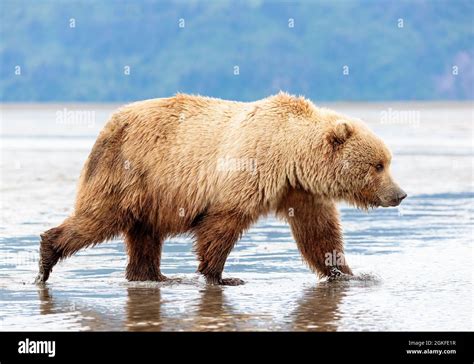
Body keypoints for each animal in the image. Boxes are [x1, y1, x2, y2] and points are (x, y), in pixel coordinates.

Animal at [36, 92, 408, 286]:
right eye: (379, 165)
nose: (400, 194)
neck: (290, 156)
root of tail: (110, 123)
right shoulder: (248, 173)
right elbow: (222, 225)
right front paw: (220, 277)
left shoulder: (302, 192)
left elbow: (320, 235)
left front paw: (349, 273)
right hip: (129, 173)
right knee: (98, 218)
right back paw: (46, 259)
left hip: (151, 194)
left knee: (144, 235)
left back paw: (154, 277)